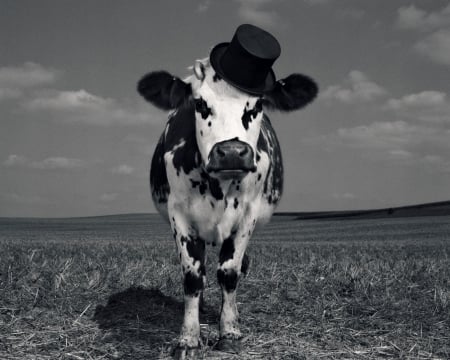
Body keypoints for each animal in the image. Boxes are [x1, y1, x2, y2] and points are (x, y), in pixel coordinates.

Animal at [137, 23, 316, 358]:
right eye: (199, 103)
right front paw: (189, 337)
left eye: (258, 105)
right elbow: (193, 276)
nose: (232, 152)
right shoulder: (179, 215)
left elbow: (230, 272)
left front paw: (230, 330)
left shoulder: (247, 215)